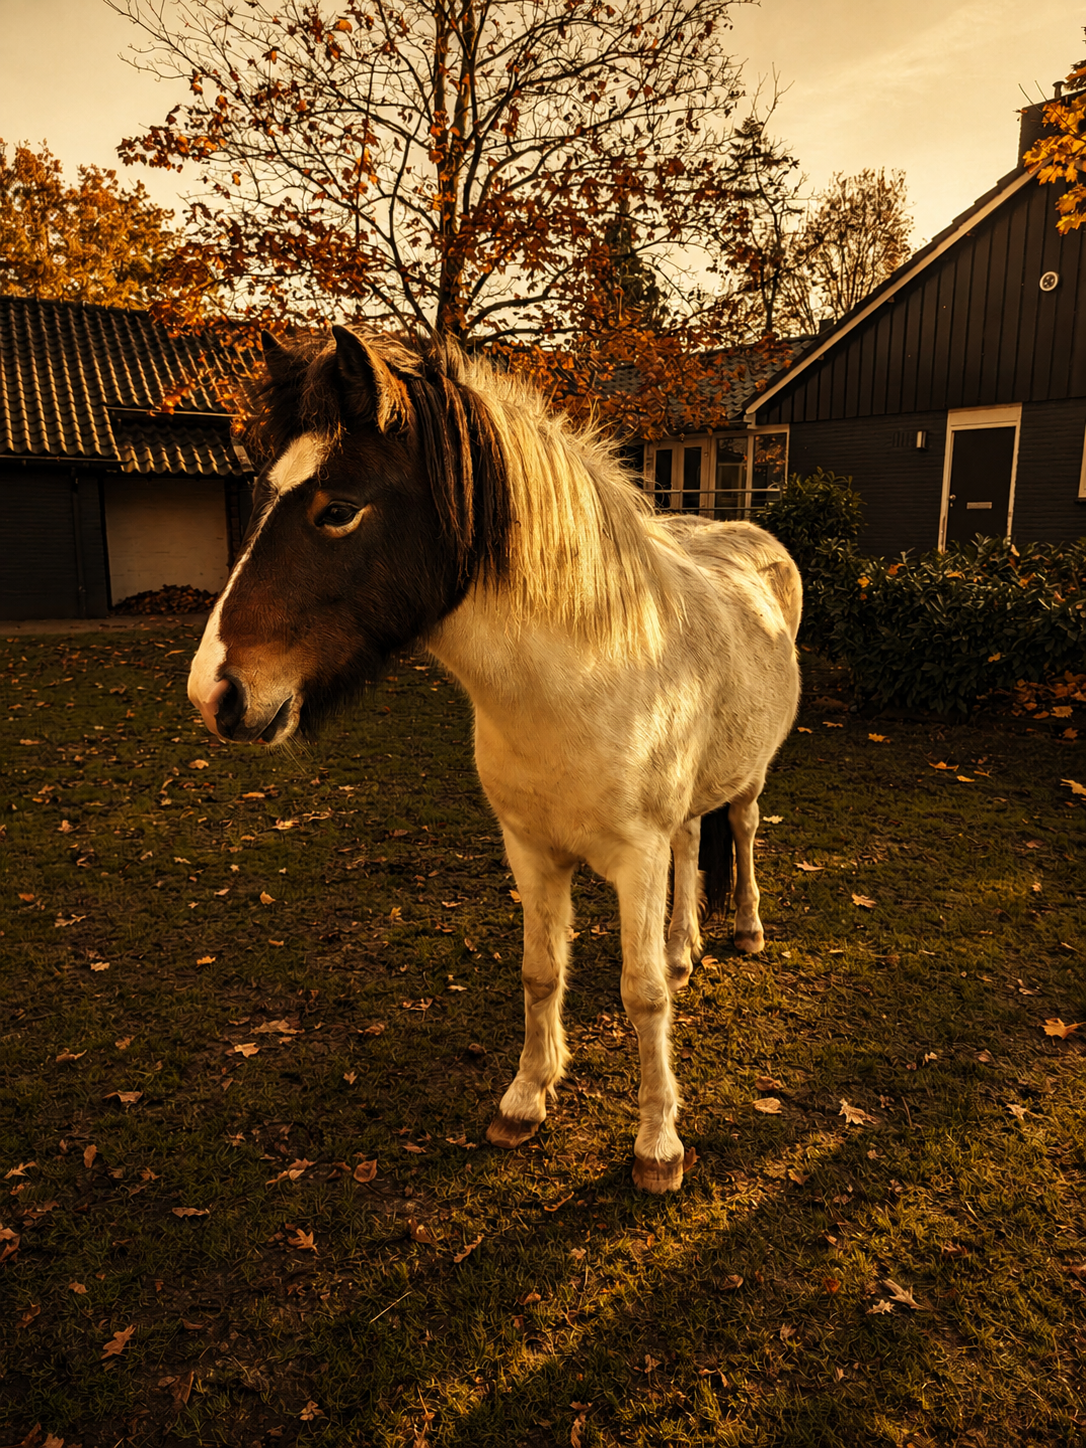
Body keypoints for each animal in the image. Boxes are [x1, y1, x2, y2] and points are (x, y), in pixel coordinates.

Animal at [187, 325, 802, 1193]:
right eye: (259, 497)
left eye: (337, 510)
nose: (214, 691)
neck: (584, 677)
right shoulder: (531, 851)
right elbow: (541, 972)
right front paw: (525, 1098)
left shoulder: (635, 860)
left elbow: (642, 995)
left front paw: (658, 1146)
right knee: (692, 845)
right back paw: (686, 948)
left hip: (748, 779)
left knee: (741, 832)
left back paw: (745, 931)